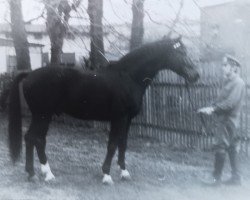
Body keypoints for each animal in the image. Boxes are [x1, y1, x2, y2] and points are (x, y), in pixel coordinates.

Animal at [7, 36, 199, 184]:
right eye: (181, 53)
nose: (195, 76)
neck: (129, 77)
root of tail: (30, 74)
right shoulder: (119, 118)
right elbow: (113, 144)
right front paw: (106, 175)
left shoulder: (128, 120)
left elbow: (123, 144)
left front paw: (124, 172)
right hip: (42, 115)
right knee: (34, 138)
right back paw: (42, 174)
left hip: (42, 116)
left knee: (35, 139)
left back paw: (39, 173)